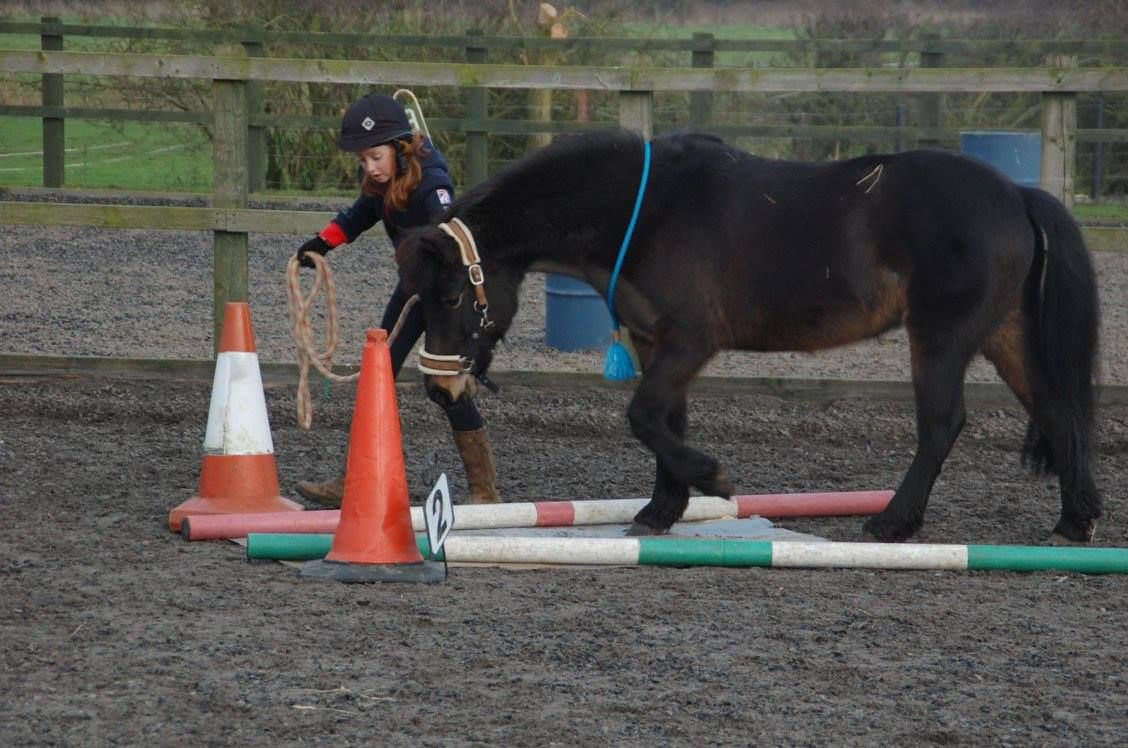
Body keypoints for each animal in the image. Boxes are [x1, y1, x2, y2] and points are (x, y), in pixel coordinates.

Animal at [397, 131, 1100, 543]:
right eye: (418, 298)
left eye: (452, 296)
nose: (439, 386)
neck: (646, 210)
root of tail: (1016, 193)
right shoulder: (656, 343)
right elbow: (663, 421)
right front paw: (662, 509)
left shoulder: (690, 340)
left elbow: (643, 415)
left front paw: (711, 478)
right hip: (1003, 334)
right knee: (1057, 412)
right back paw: (1074, 519)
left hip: (942, 337)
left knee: (943, 425)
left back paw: (893, 521)